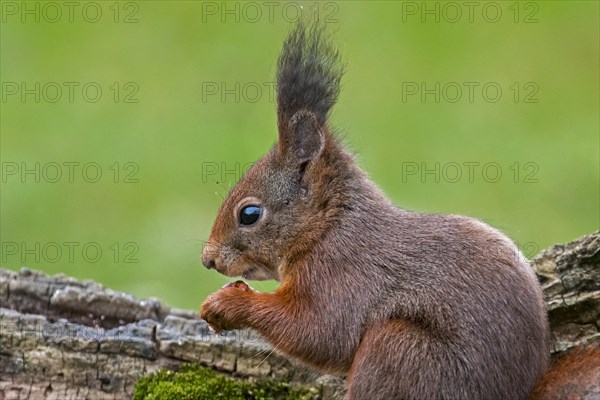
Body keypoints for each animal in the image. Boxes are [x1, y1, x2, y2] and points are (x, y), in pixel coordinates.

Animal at [202, 22, 600, 400]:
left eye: (249, 214)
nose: (208, 259)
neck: (328, 227)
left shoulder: (343, 276)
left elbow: (318, 332)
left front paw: (227, 303)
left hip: (398, 347)